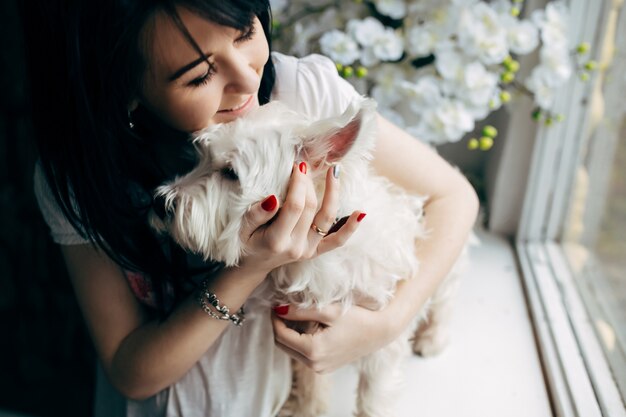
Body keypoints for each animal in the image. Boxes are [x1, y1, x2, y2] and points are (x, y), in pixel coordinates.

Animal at [151, 98, 460, 416]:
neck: (313, 260)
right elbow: (312, 380)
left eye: (230, 173)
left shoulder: (379, 339)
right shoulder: (304, 327)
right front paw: (306, 409)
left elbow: (373, 396)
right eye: (201, 158)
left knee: (445, 301)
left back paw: (432, 338)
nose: (159, 202)